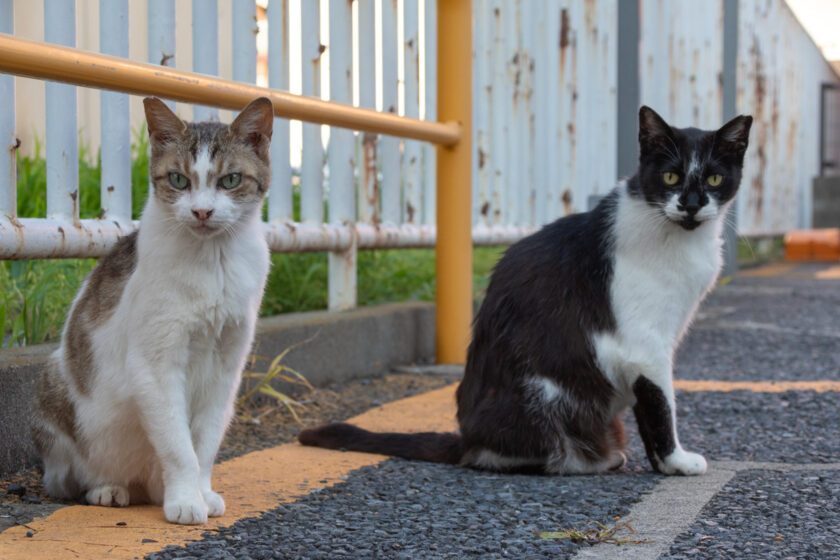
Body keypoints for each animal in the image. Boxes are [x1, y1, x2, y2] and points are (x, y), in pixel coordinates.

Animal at [28, 97, 272, 524]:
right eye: (178, 180)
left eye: (230, 180)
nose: (202, 212)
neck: (214, 261)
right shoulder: (156, 365)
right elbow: (178, 446)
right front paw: (186, 501)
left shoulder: (226, 368)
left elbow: (204, 444)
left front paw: (201, 493)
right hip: (52, 382)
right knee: (67, 480)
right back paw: (108, 489)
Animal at [298, 106, 752, 476]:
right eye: (670, 175)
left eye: (714, 177)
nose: (691, 204)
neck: (680, 238)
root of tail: (466, 437)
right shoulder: (645, 346)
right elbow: (660, 406)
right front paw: (676, 462)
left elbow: (651, 407)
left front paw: (664, 464)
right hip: (542, 393)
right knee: (503, 453)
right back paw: (580, 459)